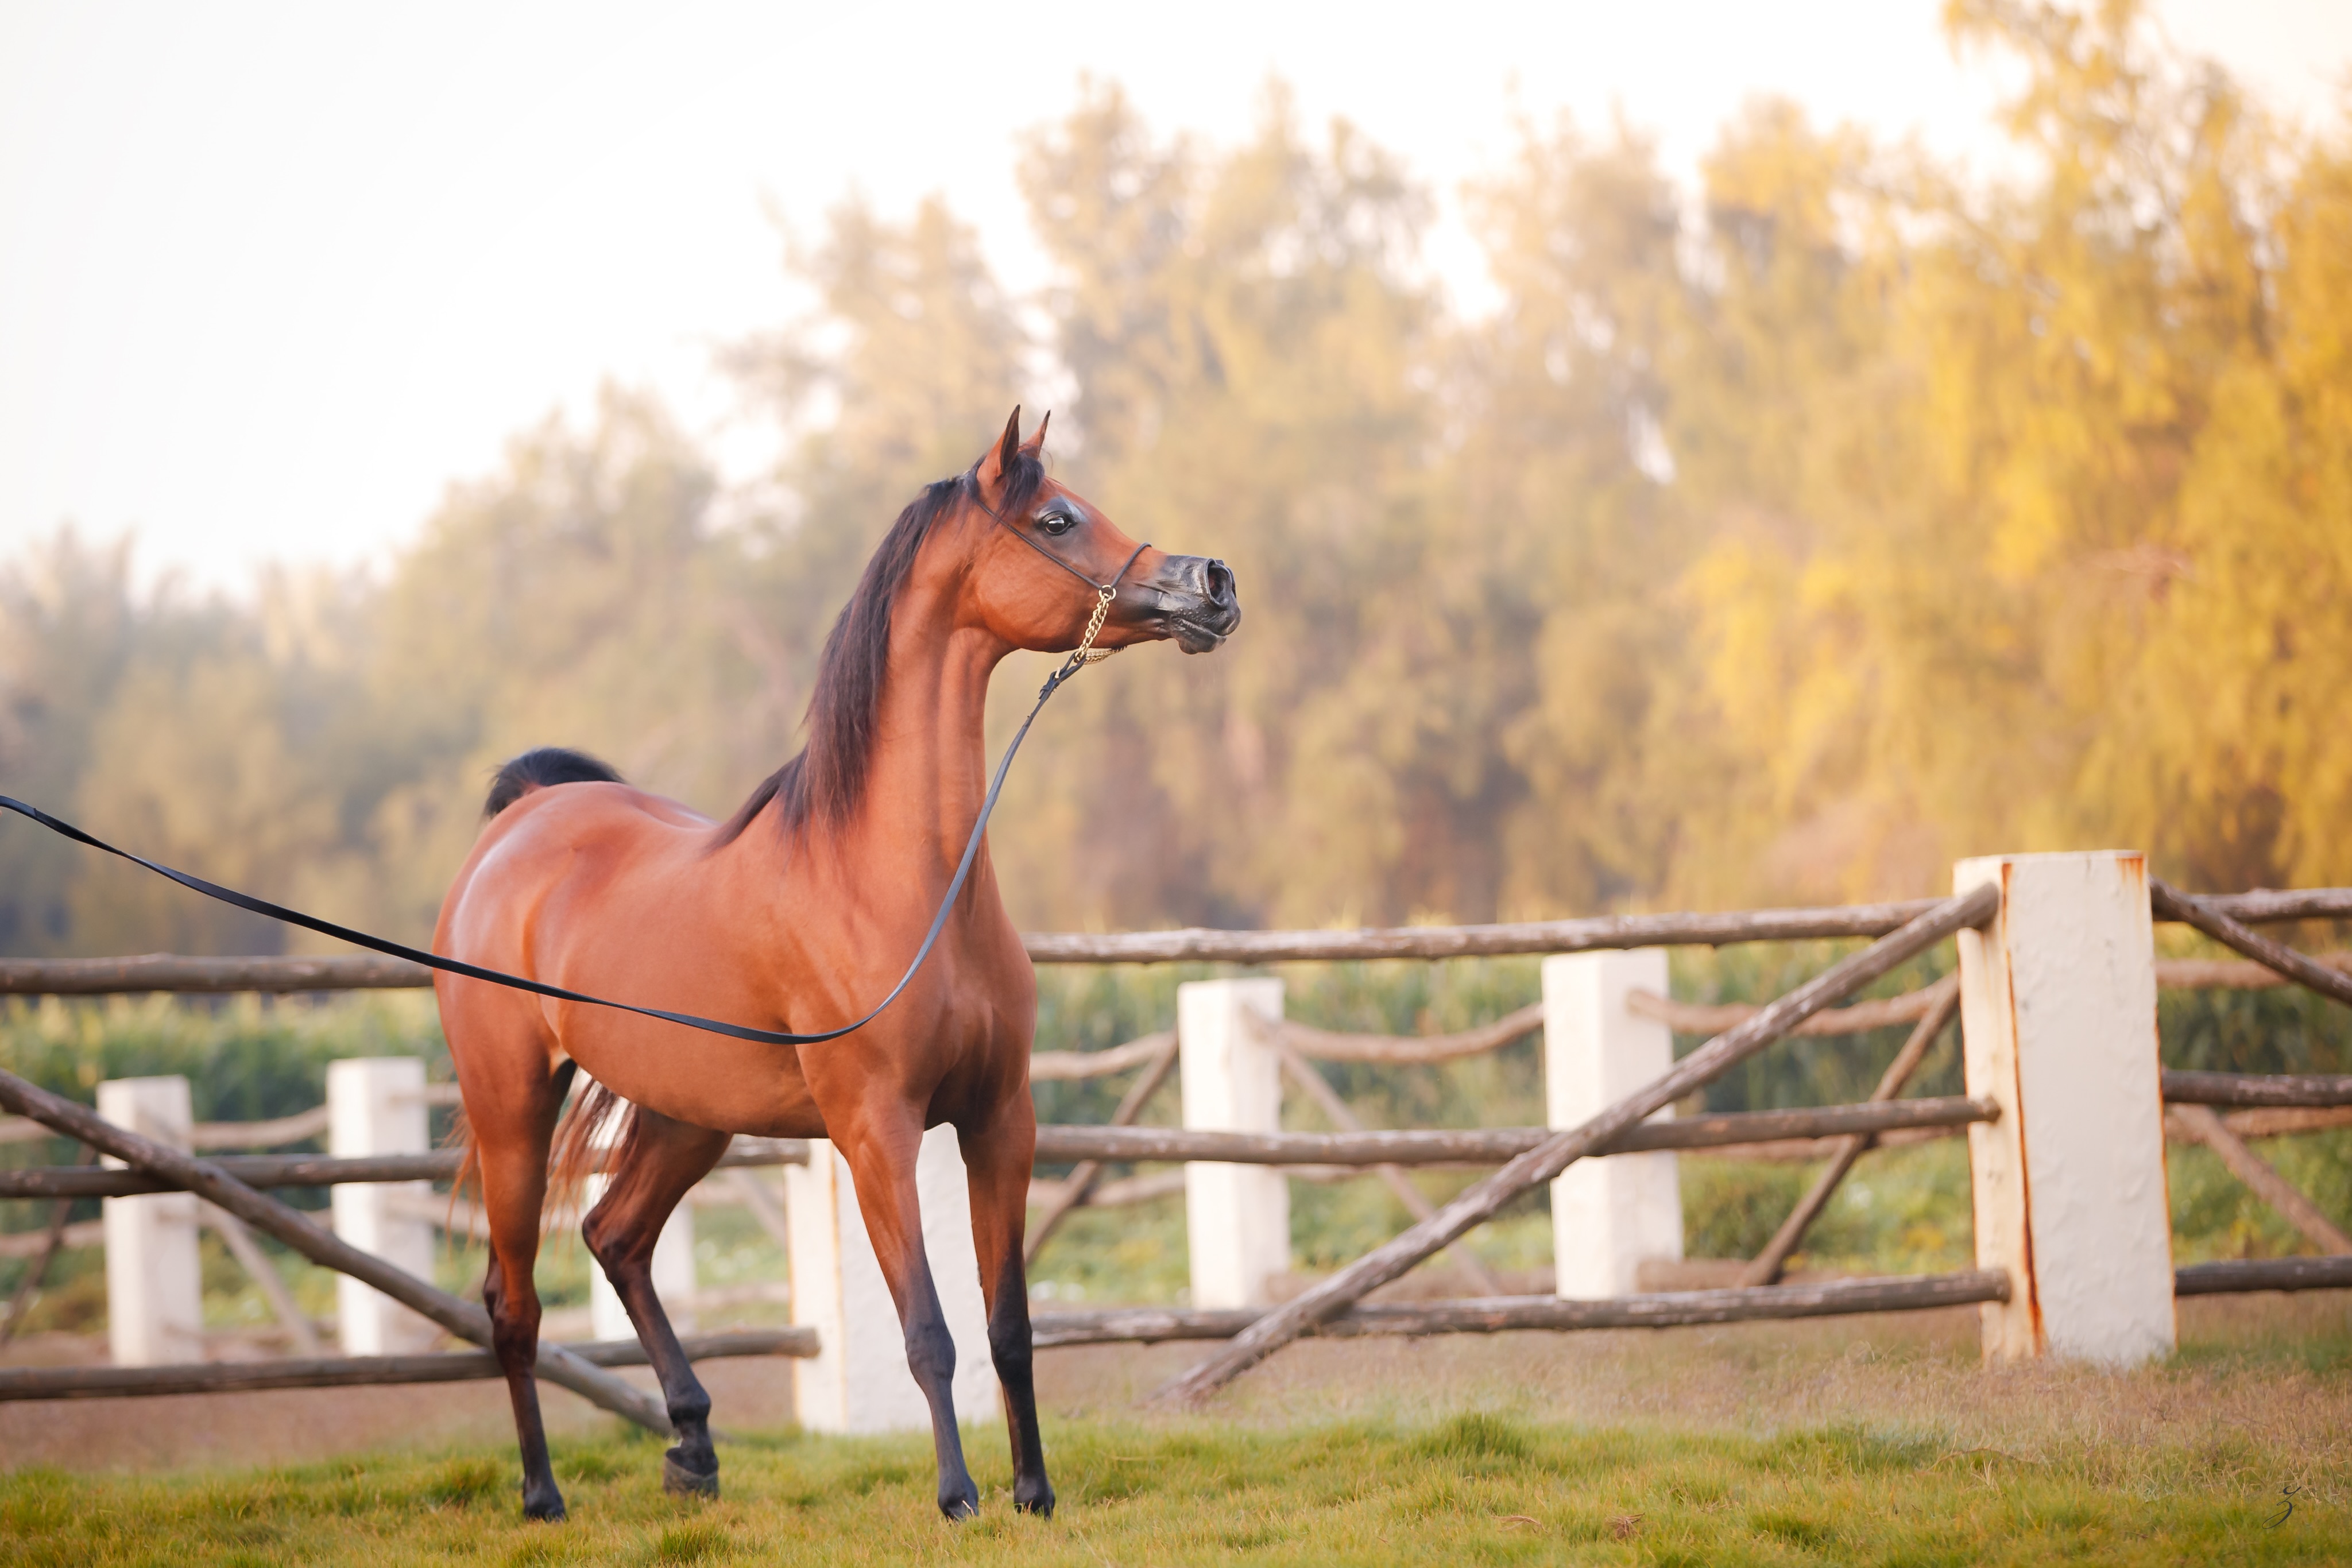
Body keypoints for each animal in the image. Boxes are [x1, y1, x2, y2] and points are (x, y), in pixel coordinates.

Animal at [433, 410, 1239, 1522]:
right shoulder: (876, 1133)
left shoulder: (1002, 1122)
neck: (897, 878)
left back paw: (694, 1445)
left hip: (688, 1116)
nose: (1213, 582)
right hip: (513, 1110)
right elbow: (930, 1331)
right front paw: (958, 1496)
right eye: (1057, 517)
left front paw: (1034, 1491)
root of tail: (522, 824)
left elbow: (1011, 1326)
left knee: (615, 1236)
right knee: (512, 1303)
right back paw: (544, 1494)